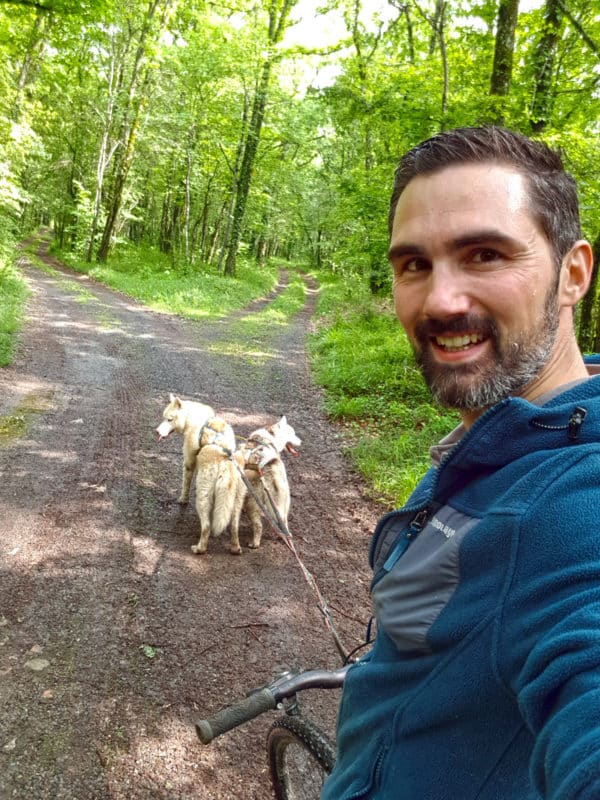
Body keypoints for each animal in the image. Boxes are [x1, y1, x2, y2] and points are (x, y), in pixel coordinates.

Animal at [192, 418, 248, 556]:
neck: (218, 441)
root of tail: (225, 464)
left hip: (202, 496)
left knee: (206, 526)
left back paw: (199, 548)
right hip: (238, 498)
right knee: (234, 526)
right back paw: (235, 548)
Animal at [241, 416, 302, 548]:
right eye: (292, 433)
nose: (301, 442)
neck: (270, 436)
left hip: (253, 501)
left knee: (258, 525)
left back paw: (254, 543)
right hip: (284, 502)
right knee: (283, 522)